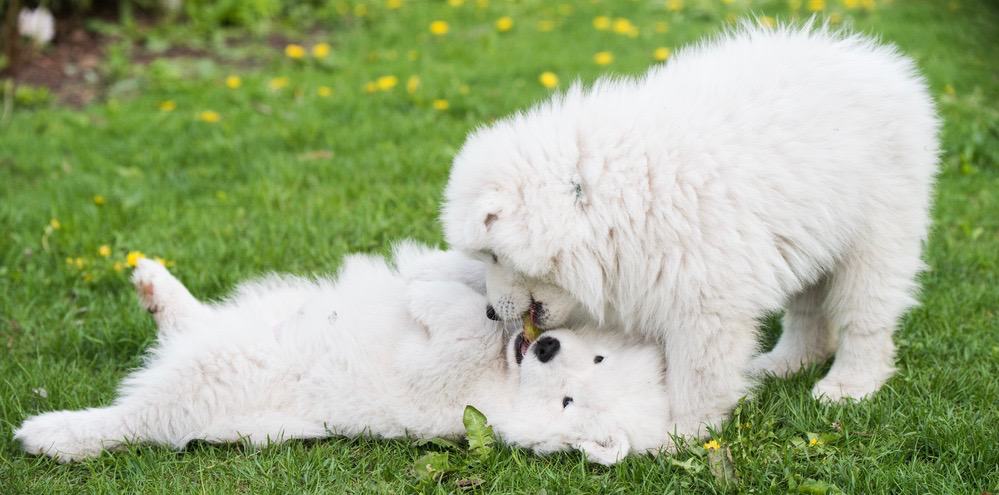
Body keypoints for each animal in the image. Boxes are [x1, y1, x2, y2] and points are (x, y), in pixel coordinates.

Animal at [15, 246, 668, 466]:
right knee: (192, 317)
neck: (506, 372)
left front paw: (433, 298)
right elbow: (468, 280)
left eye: (569, 401)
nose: (548, 345)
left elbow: (459, 329)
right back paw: (153, 281)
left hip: (199, 383)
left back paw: (51, 434)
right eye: (598, 359)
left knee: (129, 419)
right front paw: (437, 275)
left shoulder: (446, 388)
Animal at [442, 23, 940, 444]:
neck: (616, 197)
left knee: (864, 315)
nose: (490, 313)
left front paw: (683, 434)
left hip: (878, 232)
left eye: (492, 256)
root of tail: (883, 63)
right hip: (814, 233)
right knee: (808, 312)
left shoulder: (706, 298)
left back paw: (847, 386)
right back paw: (784, 364)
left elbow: (698, 375)